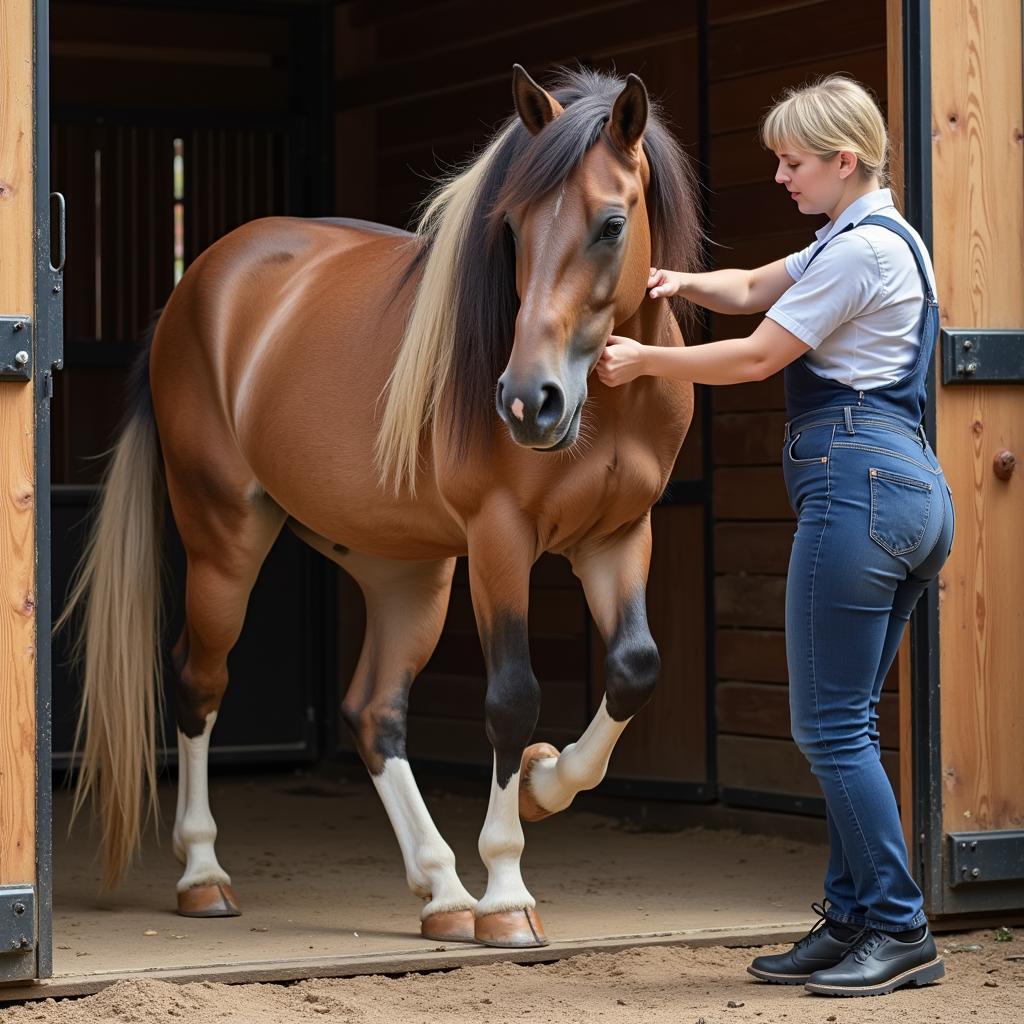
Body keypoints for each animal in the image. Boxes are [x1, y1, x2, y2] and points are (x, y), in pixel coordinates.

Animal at [64, 61, 700, 942]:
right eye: (511, 227)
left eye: (612, 224)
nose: (527, 402)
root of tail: (192, 290)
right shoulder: (500, 541)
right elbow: (512, 699)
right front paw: (509, 891)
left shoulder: (619, 536)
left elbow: (635, 669)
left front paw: (544, 785)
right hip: (224, 539)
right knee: (199, 683)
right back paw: (204, 875)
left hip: (407, 573)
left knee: (373, 712)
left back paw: (442, 889)